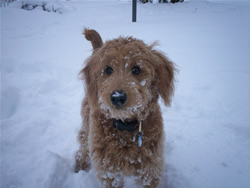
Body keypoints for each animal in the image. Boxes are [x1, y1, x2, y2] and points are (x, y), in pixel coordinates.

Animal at [74, 28, 176, 188]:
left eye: (136, 69)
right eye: (108, 70)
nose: (118, 97)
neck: (125, 127)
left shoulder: (150, 169)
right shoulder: (108, 170)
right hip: (87, 125)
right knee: (83, 146)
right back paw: (81, 166)